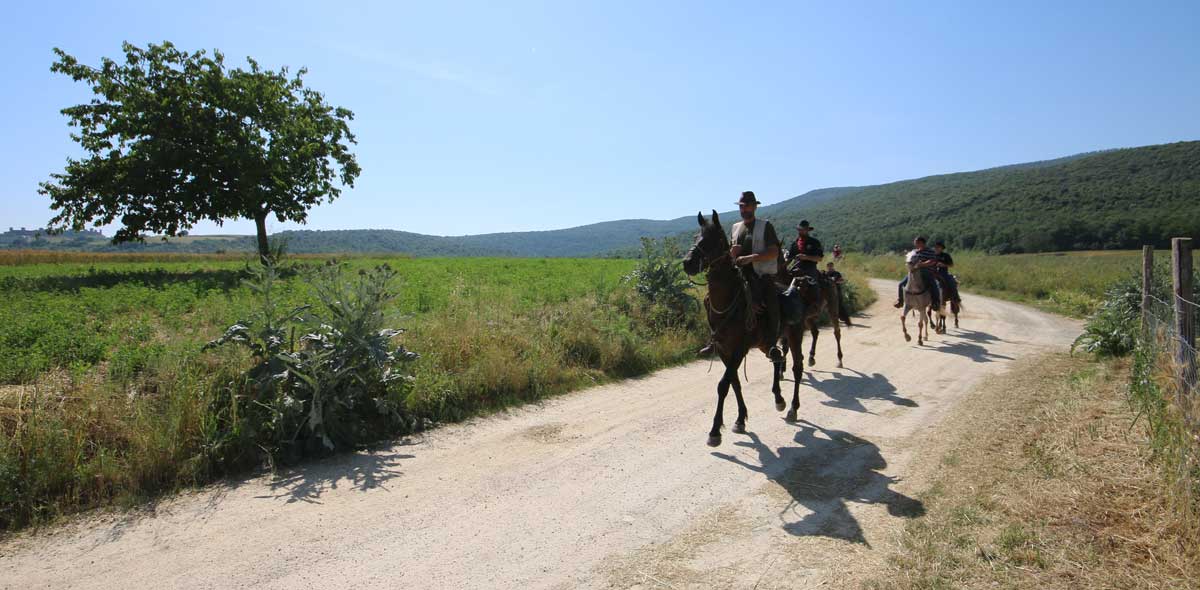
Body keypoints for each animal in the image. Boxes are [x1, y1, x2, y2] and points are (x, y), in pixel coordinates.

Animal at [686, 209, 787, 443]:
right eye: (696, 237)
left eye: (713, 239)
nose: (687, 263)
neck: (727, 300)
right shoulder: (724, 349)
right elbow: (734, 382)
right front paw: (740, 419)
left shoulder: (739, 348)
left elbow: (723, 385)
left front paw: (715, 431)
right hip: (762, 344)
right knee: (776, 358)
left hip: (772, 339)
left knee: (777, 357)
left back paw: (779, 399)